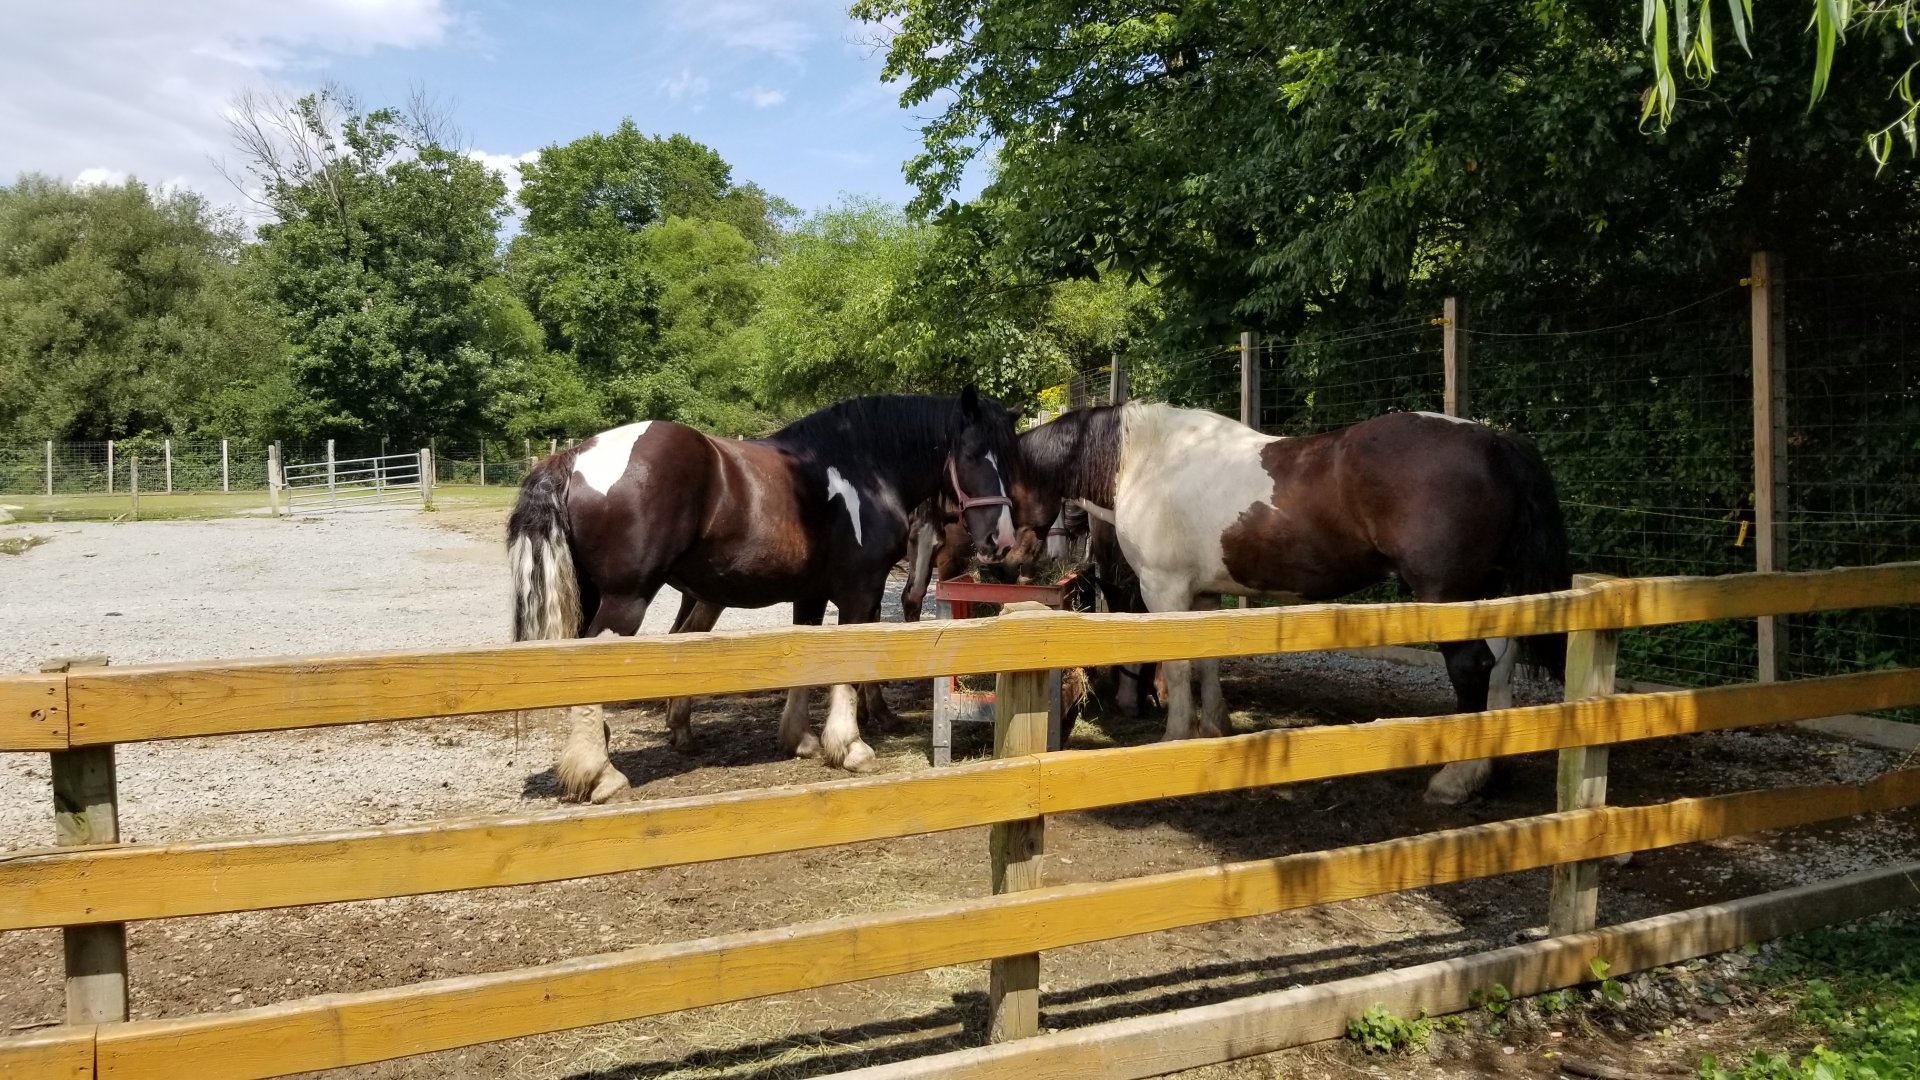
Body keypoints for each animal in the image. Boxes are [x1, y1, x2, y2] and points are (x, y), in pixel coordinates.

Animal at [508, 389, 1025, 803]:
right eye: (973, 454)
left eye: (1007, 457)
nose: (1000, 538)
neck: (863, 468)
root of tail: (573, 459)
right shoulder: (860, 590)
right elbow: (847, 669)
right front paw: (850, 747)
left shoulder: (811, 594)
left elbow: (809, 663)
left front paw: (801, 741)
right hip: (625, 600)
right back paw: (602, 777)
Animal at [1012, 402, 1570, 804]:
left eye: (1007, 485)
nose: (1009, 555)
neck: (1147, 461)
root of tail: (1496, 442)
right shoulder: (1204, 592)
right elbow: (1207, 662)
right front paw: (1214, 730)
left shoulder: (1164, 588)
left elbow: (1179, 666)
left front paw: (1175, 740)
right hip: (1486, 593)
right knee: (1501, 664)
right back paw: (1487, 771)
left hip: (1447, 597)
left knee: (1474, 669)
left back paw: (1454, 779)